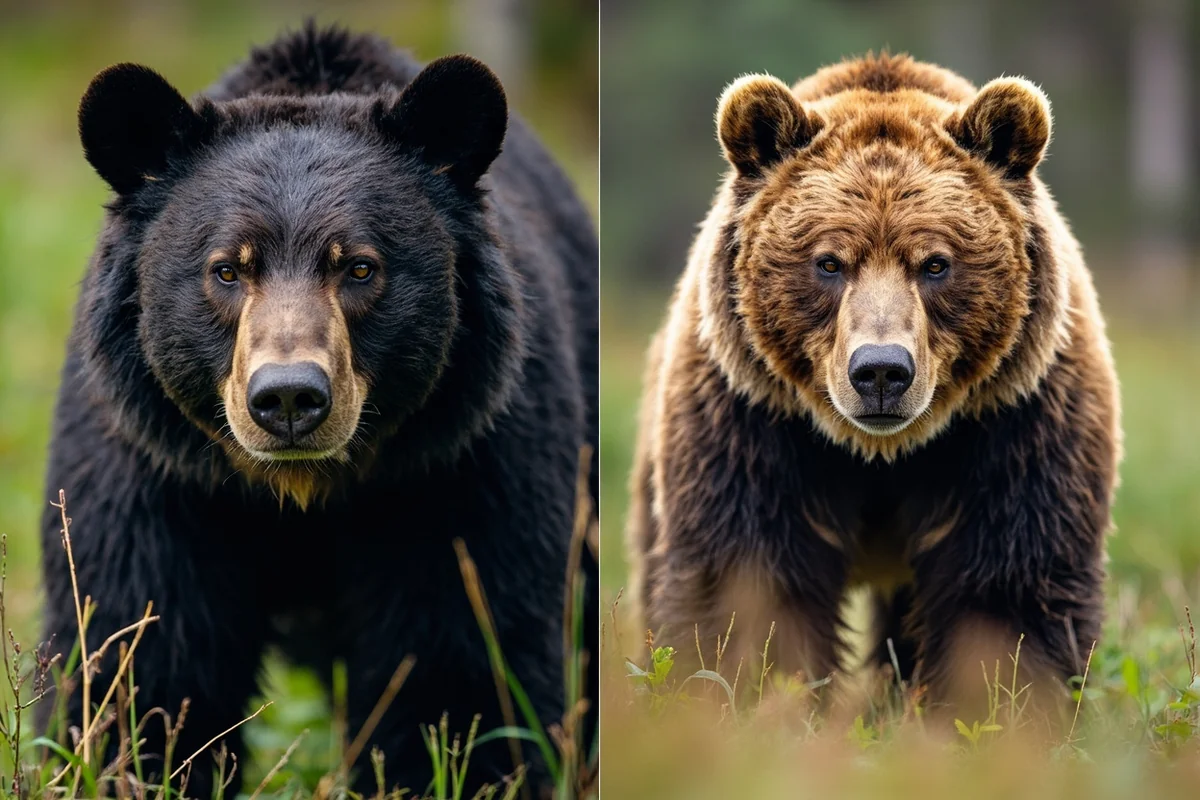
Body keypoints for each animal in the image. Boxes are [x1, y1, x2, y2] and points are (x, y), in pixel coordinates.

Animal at [39, 23, 597, 797]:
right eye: (226, 270)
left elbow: (461, 655)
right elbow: (141, 646)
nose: (288, 398)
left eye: (360, 267)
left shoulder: (460, 465)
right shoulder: (154, 469)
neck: (307, 489)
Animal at [627, 53, 1120, 727]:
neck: (881, 452)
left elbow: (1009, 585)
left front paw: (995, 712)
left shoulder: (1016, 418)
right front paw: (756, 703)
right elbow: (746, 582)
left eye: (935, 263)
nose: (881, 371)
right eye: (829, 262)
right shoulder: (752, 419)